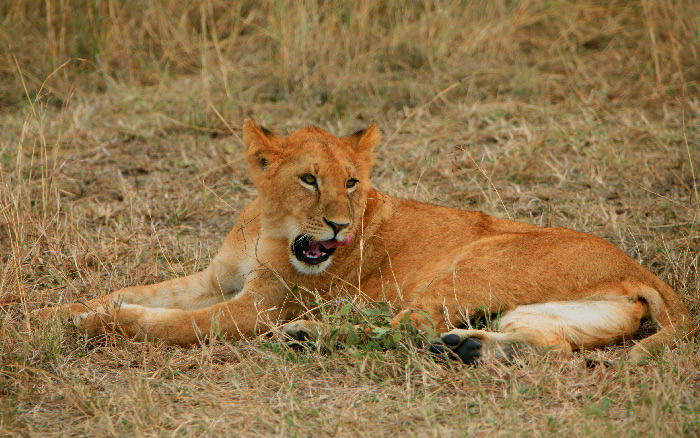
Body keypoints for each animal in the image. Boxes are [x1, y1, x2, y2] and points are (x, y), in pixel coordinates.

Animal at [39, 119, 696, 362]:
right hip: (556, 311)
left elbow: (172, 323)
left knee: (406, 326)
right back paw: (468, 347)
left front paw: (97, 325)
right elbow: (142, 290)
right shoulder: (211, 280)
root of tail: (647, 271)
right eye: (310, 179)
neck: (267, 227)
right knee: (544, 343)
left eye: (353, 183)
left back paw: (310, 336)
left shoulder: (257, 308)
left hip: (471, 263)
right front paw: (61, 310)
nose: (338, 226)